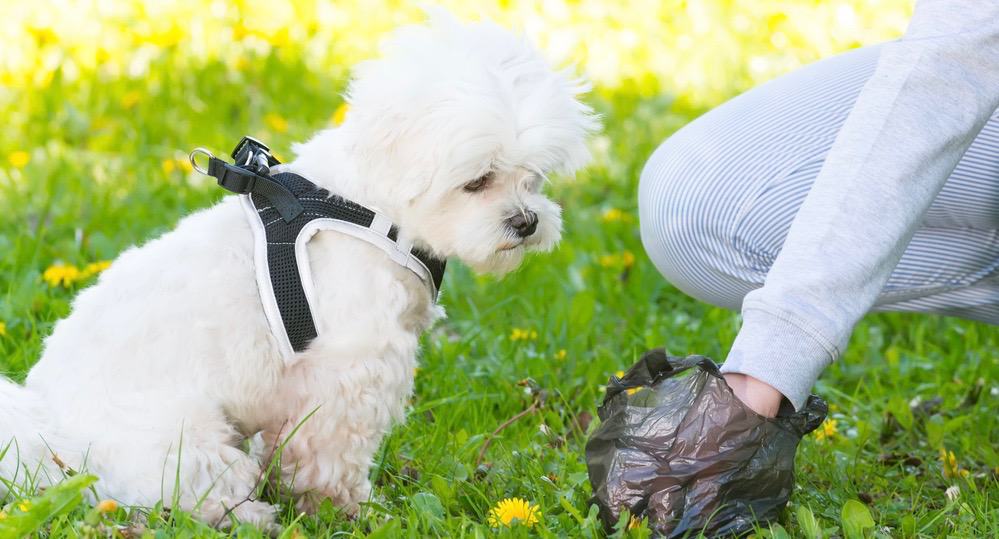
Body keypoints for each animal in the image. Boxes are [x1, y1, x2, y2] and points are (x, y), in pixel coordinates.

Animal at [0, 10, 592, 528]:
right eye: (477, 181)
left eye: (533, 177)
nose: (526, 221)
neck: (369, 207)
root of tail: (48, 436)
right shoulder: (349, 369)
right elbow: (330, 454)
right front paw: (344, 508)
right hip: (185, 445)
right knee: (194, 493)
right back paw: (251, 516)